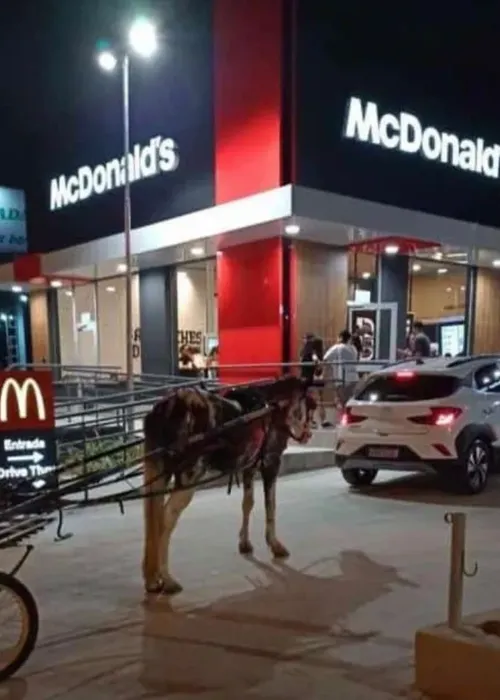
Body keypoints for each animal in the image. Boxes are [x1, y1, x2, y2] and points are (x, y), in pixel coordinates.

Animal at [141, 374, 314, 592]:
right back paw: (166, 578)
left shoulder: (249, 466)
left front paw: (245, 543)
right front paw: (275, 545)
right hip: (190, 474)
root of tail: (169, 406)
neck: (275, 407)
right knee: (166, 517)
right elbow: (271, 505)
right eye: (309, 404)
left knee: (152, 516)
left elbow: (248, 503)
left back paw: (152, 577)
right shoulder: (271, 462)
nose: (308, 434)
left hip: (157, 470)